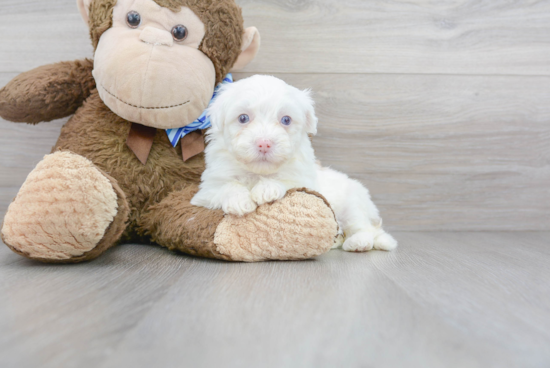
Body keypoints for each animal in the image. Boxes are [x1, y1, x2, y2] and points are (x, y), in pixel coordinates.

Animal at [192, 75, 398, 253]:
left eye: (286, 120)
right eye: (243, 118)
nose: (264, 143)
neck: (258, 173)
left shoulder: (305, 180)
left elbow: (287, 180)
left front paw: (267, 188)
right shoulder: (206, 190)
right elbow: (225, 186)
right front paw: (239, 200)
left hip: (353, 203)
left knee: (364, 227)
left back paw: (358, 242)